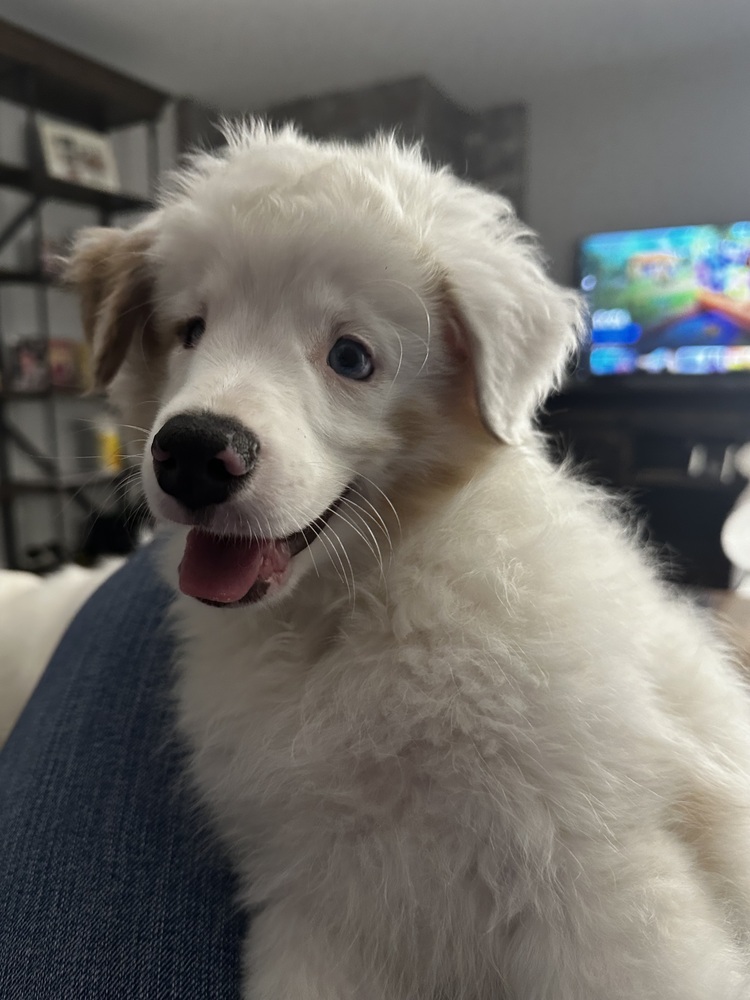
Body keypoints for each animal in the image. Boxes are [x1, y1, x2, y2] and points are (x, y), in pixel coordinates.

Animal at [67, 127, 750, 1000]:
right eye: (192, 329)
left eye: (352, 358)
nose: (190, 453)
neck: (365, 603)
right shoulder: (317, 909)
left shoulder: (599, 875)